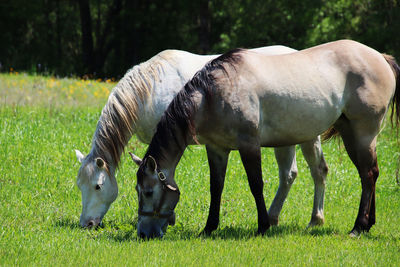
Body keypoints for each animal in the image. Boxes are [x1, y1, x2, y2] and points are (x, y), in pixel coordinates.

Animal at [74, 45, 328, 230]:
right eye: (79, 186)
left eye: (97, 186)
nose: (87, 224)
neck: (151, 89)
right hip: (285, 138)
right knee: (289, 175)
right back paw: (273, 217)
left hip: (307, 135)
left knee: (317, 171)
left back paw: (314, 219)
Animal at [132, 39, 400, 239]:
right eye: (137, 190)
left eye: (148, 192)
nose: (144, 233)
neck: (212, 95)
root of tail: (380, 57)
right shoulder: (216, 149)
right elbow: (216, 187)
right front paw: (209, 228)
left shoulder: (249, 145)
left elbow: (256, 184)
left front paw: (262, 226)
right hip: (350, 134)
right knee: (369, 174)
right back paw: (368, 224)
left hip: (364, 135)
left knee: (368, 175)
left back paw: (358, 226)